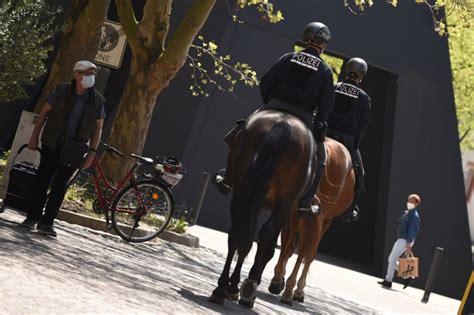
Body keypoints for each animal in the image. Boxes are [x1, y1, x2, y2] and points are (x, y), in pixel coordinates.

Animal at [208, 109, 316, 308]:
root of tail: (283, 122)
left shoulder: (258, 203)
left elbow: (249, 236)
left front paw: (234, 286)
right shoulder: (285, 210)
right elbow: (270, 248)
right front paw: (250, 282)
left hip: (244, 193)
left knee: (238, 233)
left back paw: (223, 289)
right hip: (280, 203)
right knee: (261, 234)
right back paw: (246, 287)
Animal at [266, 138, 356, 306]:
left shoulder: (294, 211)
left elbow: (288, 244)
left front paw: (279, 279)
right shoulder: (325, 219)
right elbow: (308, 252)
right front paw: (294, 288)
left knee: (293, 246)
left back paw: (282, 285)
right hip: (316, 216)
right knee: (305, 251)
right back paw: (291, 290)